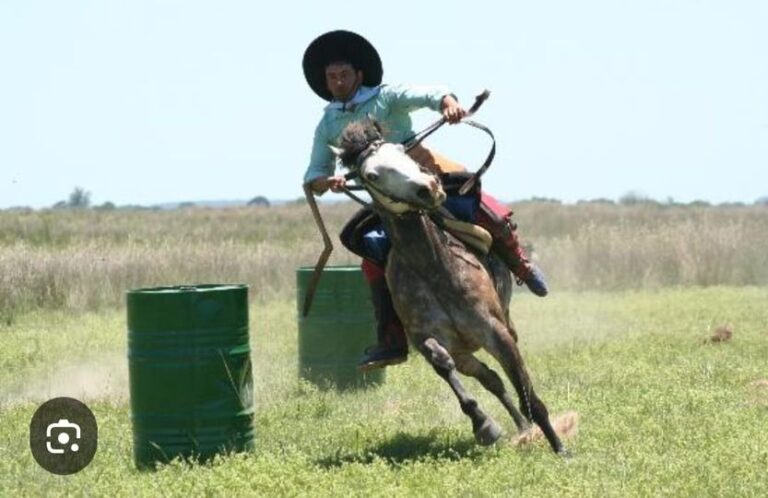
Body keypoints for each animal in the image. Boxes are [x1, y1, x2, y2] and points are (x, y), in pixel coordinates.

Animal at [332, 120, 568, 456]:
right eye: (372, 175)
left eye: (402, 150)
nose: (429, 188)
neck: (433, 267)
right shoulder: (428, 339)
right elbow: (443, 364)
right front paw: (484, 426)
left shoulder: (496, 332)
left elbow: (529, 395)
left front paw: (561, 449)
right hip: (465, 353)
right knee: (491, 379)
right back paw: (520, 427)